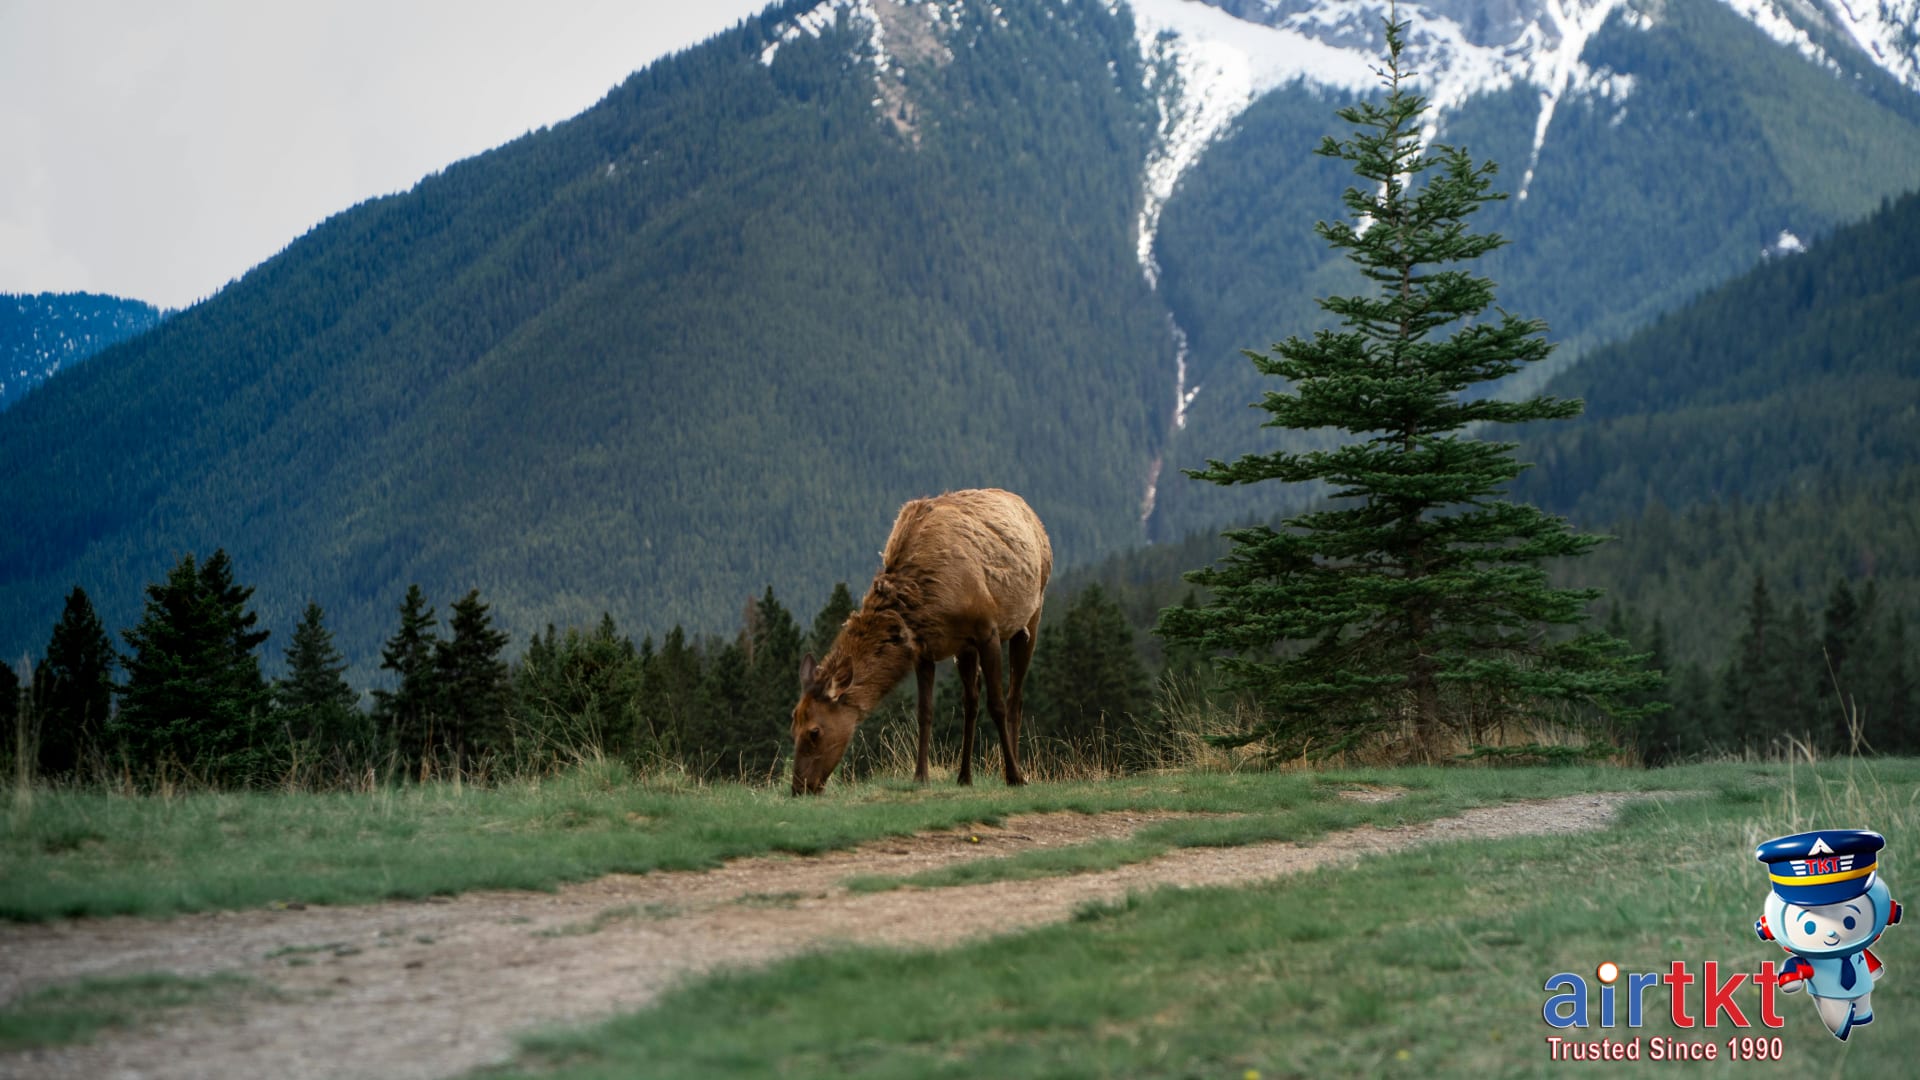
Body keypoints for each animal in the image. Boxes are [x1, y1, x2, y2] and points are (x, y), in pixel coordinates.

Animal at [790, 488, 1051, 795]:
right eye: (793, 725)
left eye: (814, 731)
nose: (799, 787)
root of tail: (1028, 509)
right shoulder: (924, 649)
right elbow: (925, 712)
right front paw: (920, 776)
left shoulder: (988, 630)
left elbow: (996, 704)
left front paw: (1014, 776)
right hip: (964, 649)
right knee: (970, 701)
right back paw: (964, 775)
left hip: (1031, 616)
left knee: (1014, 697)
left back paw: (1015, 770)